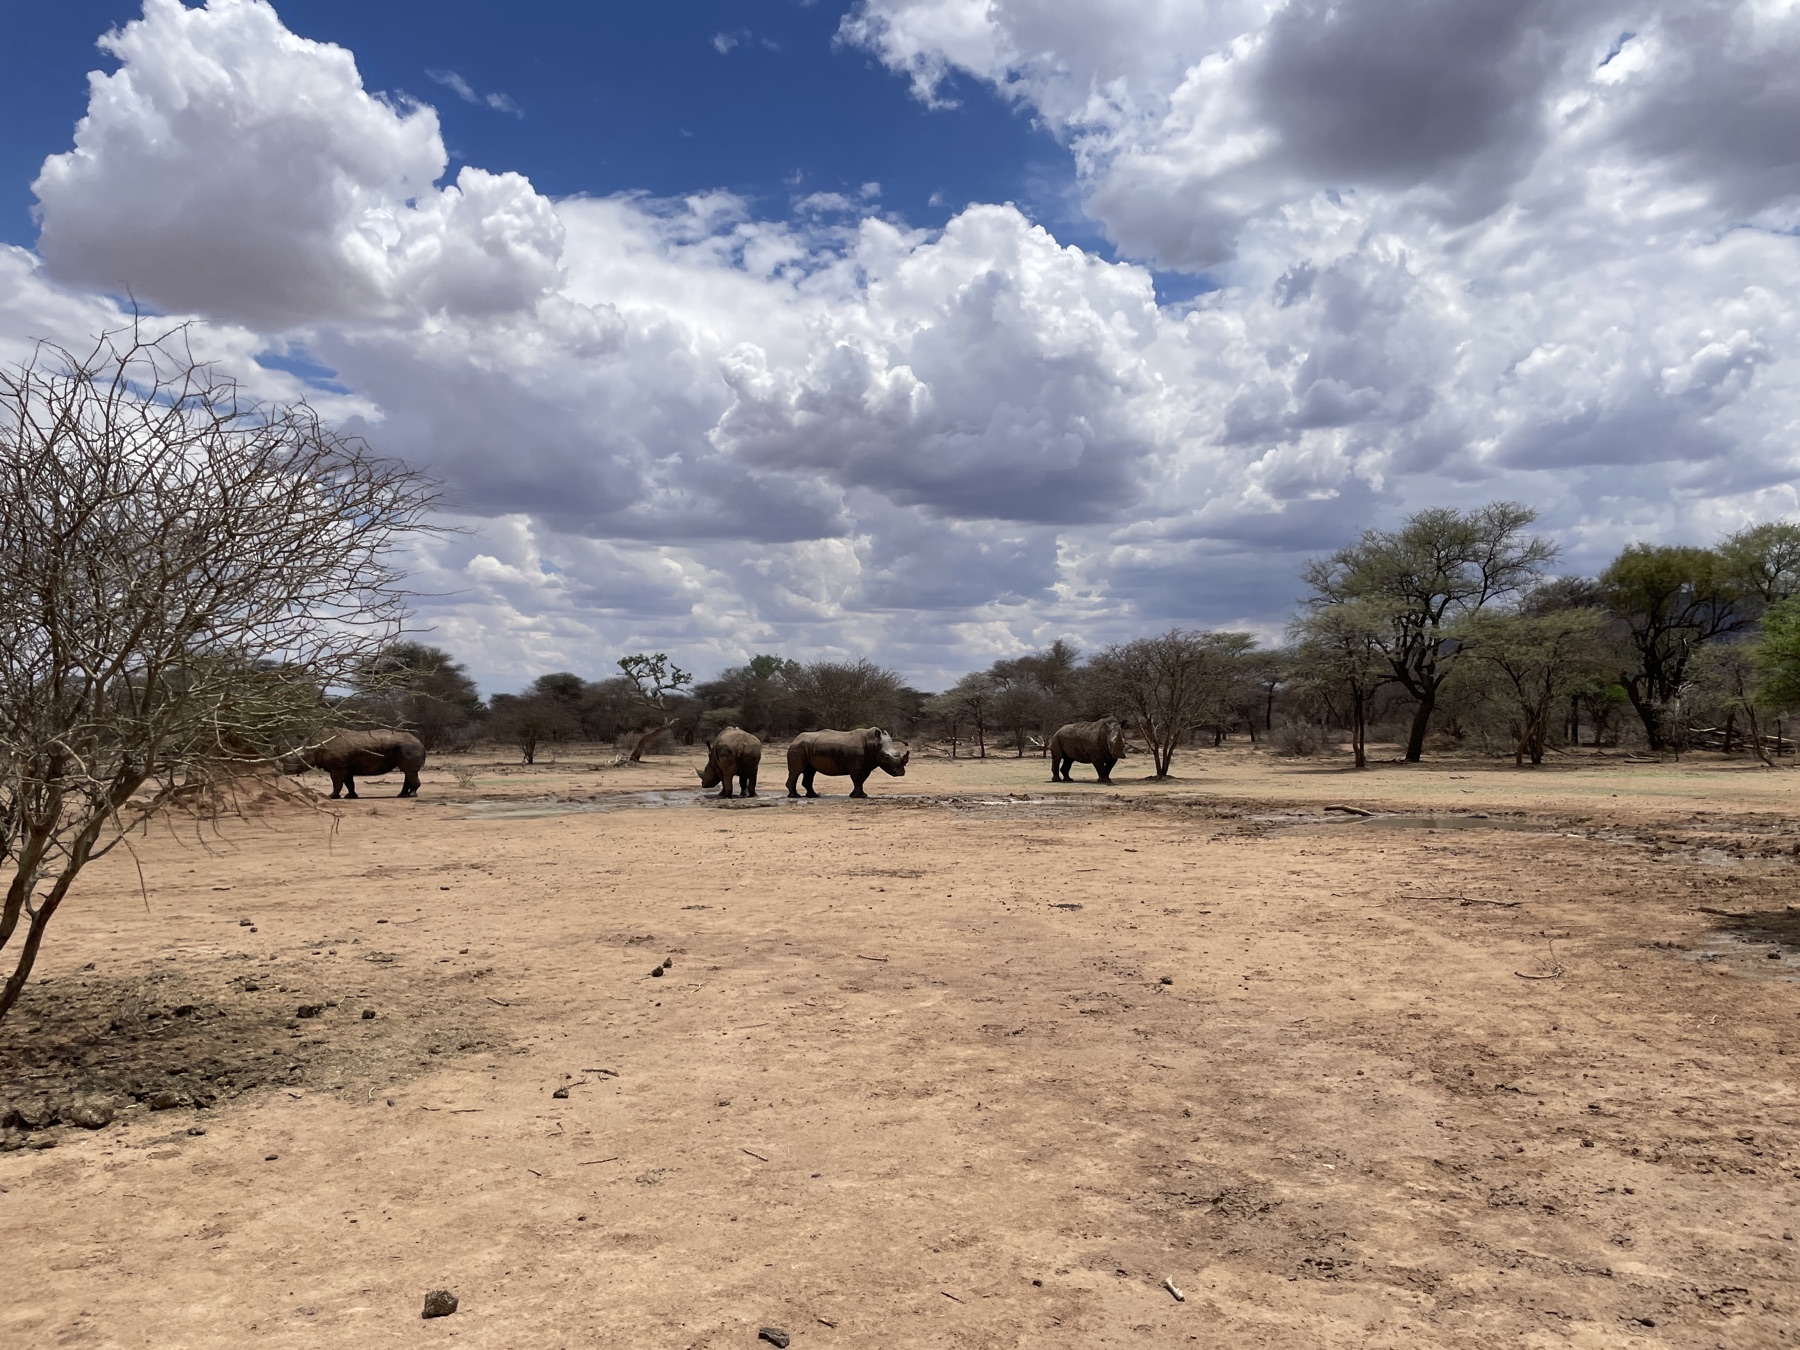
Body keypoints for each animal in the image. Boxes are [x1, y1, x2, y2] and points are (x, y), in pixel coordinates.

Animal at [298, 729, 426, 799]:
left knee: (409, 771)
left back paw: (411, 795)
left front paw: (331, 796)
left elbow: (337, 782)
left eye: (301, 758)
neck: (317, 746)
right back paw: (402, 795)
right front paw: (350, 796)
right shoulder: (345, 767)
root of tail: (421, 743)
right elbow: (349, 783)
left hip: (409, 748)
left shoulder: (338, 768)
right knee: (407, 771)